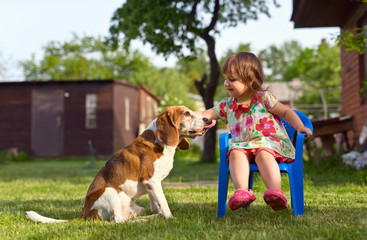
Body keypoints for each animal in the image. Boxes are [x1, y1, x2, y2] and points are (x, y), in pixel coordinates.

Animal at [26, 106, 216, 223]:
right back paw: (144, 221)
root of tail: (84, 213)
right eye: (186, 113)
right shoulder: (153, 182)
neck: (159, 142)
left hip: (136, 208)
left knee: (127, 218)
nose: (207, 120)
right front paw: (170, 219)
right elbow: (164, 204)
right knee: (118, 221)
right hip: (109, 191)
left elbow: (156, 205)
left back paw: (149, 218)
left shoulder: (151, 186)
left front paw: (160, 215)